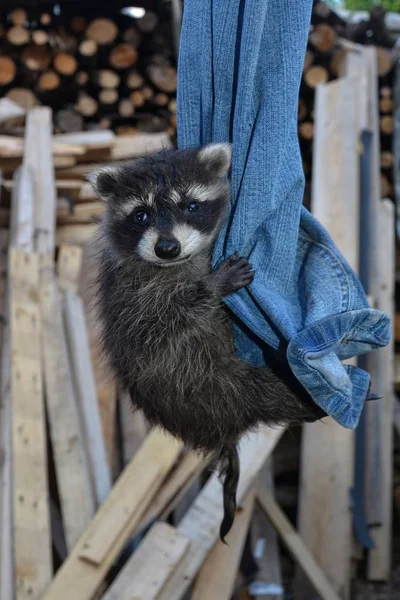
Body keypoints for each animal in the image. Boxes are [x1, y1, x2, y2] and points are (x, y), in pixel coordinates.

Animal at [90, 144, 322, 540]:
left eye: (190, 205)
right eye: (141, 214)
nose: (167, 247)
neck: (178, 264)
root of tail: (222, 428)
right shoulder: (131, 298)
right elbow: (165, 322)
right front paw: (212, 288)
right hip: (212, 386)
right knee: (266, 393)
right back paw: (308, 400)